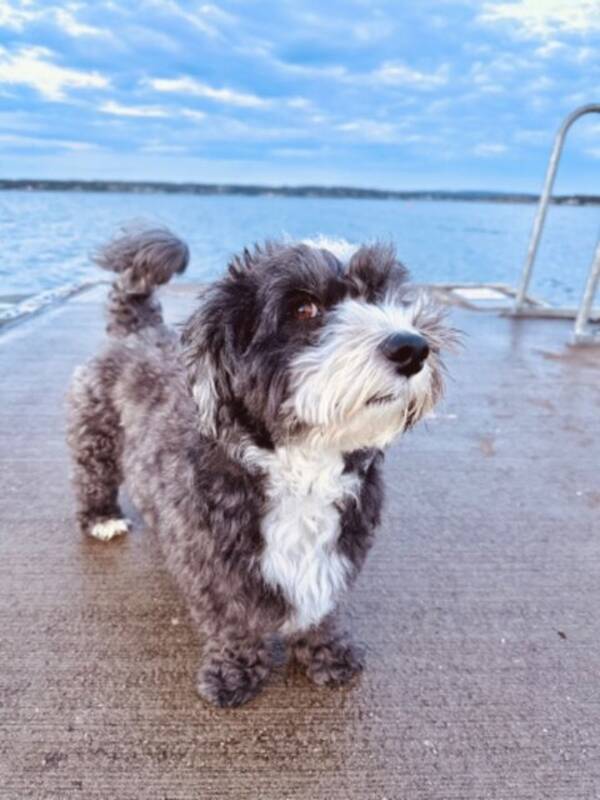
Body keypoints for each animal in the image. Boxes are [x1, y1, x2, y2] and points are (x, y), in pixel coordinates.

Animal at [67, 227, 454, 708]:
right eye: (304, 309)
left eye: (382, 294)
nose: (412, 347)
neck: (303, 463)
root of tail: (138, 330)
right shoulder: (212, 560)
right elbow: (230, 620)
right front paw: (234, 672)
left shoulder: (340, 547)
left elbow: (322, 607)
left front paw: (327, 653)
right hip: (96, 433)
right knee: (92, 476)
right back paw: (102, 518)